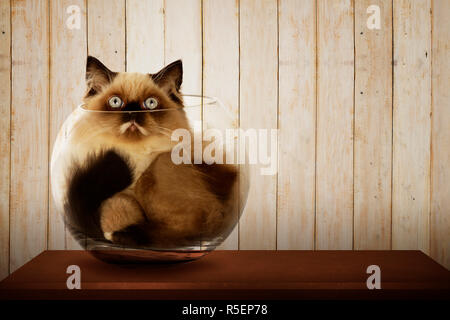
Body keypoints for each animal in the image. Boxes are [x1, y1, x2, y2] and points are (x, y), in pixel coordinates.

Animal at [60, 57, 239, 248]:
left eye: (150, 103)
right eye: (115, 102)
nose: (132, 113)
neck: (132, 157)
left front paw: (115, 232)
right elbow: (116, 206)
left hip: (160, 169)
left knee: (183, 233)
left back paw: (122, 235)